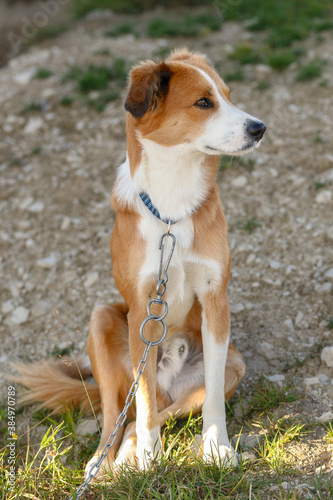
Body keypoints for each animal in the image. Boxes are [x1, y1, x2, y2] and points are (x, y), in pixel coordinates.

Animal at [13, 49, 264, 476]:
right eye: (203, 102)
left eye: (228, 96)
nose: (260, 128)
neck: (172, 211)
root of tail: (169, 380)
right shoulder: (143, 312)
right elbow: (142, 399)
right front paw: (150, 455)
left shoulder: (216, 299)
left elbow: (212, 398)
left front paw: (217, 447)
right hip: (101, 320)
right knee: (119, 413)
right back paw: (104, 461)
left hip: (234, 364)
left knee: (149, 413)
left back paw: (129, 450)